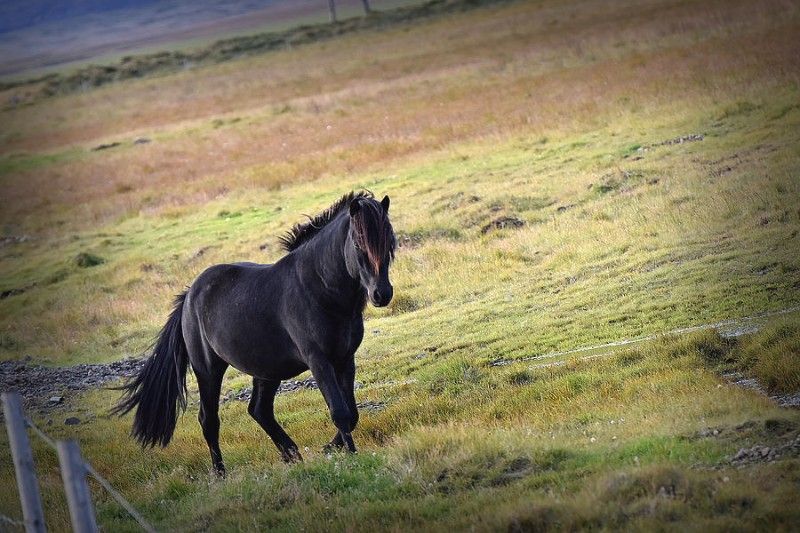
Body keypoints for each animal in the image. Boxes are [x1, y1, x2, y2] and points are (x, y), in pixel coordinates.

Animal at [114, 191, 396, 474]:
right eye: (359, 245)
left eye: (389, 243)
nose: (381, 294)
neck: (319, 288)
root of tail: (189, 296)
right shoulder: (319, 361)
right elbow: (340, 412)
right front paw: (351, 456)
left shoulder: (345, 359)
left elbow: (352, 412)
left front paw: (330, 448)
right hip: (208, 370)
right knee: (209, 419)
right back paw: (221, 473)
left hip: (267, 369)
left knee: (259, 410)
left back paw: (291, 454)